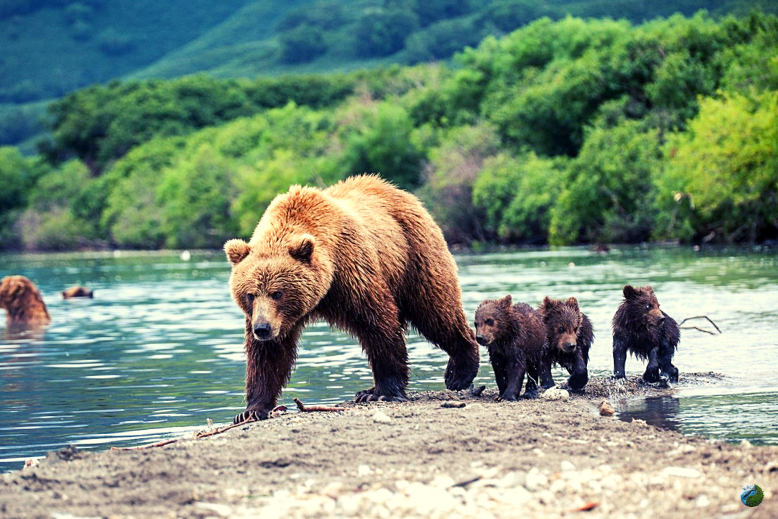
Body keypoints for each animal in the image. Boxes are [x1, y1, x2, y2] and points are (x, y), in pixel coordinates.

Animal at [223, 175, 478, 422]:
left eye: (277, 292)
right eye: (250, 294)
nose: (262, 329)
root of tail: (399, 191)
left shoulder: (352, 273)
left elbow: (377, 323)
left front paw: (381, 392)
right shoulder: (275, 318)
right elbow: (268, 356)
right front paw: (252, 410)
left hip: (415, 254)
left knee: (436, 310)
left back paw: (459, 372)